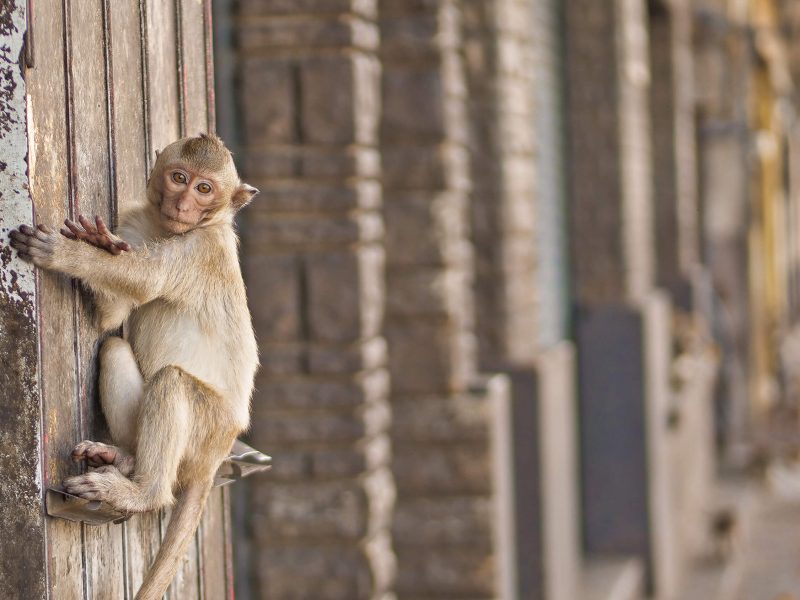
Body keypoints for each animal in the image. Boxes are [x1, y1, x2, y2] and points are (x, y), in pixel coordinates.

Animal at [9, 133, 259, 600]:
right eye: (179, 177)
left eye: (204, 189)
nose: (183, 203)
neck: (172, 230)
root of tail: (216, 456)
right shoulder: (134, 222)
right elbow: (111, 317)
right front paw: (102, 245)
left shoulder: (198, 249)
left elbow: (147, 281)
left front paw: (68, 254)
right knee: (113, 348)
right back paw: (124, 458)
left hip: (210, 427)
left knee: (172, 382)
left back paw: (144, 493)